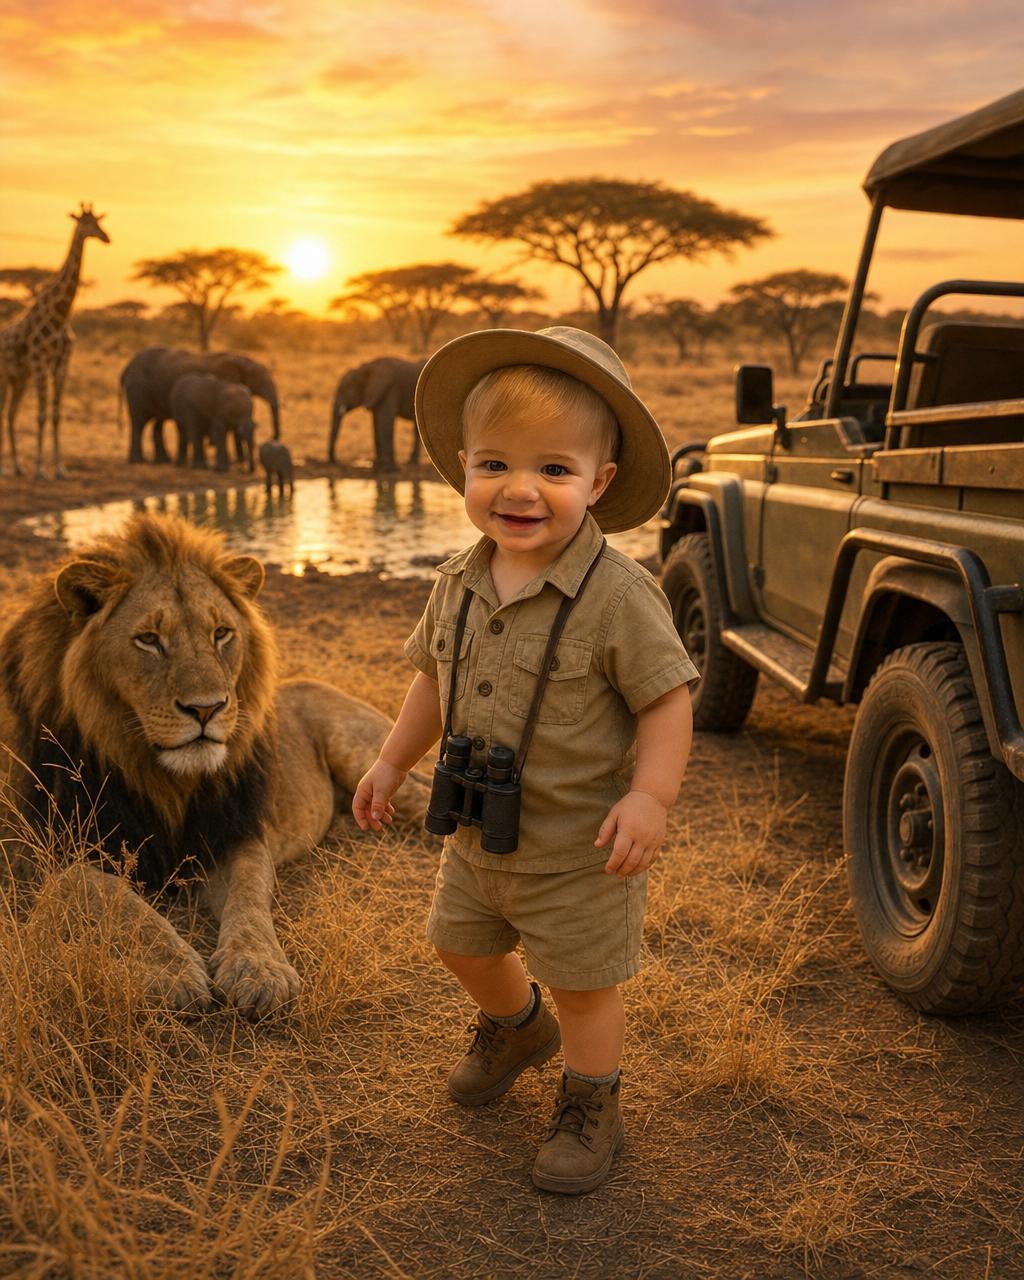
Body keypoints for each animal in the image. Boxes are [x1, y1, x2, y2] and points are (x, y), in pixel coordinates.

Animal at [0, 203, 110, 479]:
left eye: (98, 221)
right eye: (85, 223)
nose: (106, 237)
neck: (60, 315)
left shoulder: (61, 365)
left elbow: (56, 415)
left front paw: (60, 468)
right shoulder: (40, 363)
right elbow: (41, 415)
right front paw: (40, 469)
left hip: (21, 379)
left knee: (10, 415)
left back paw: (17, 467)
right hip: (5, 376)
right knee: (3, 412)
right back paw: (6, 468)